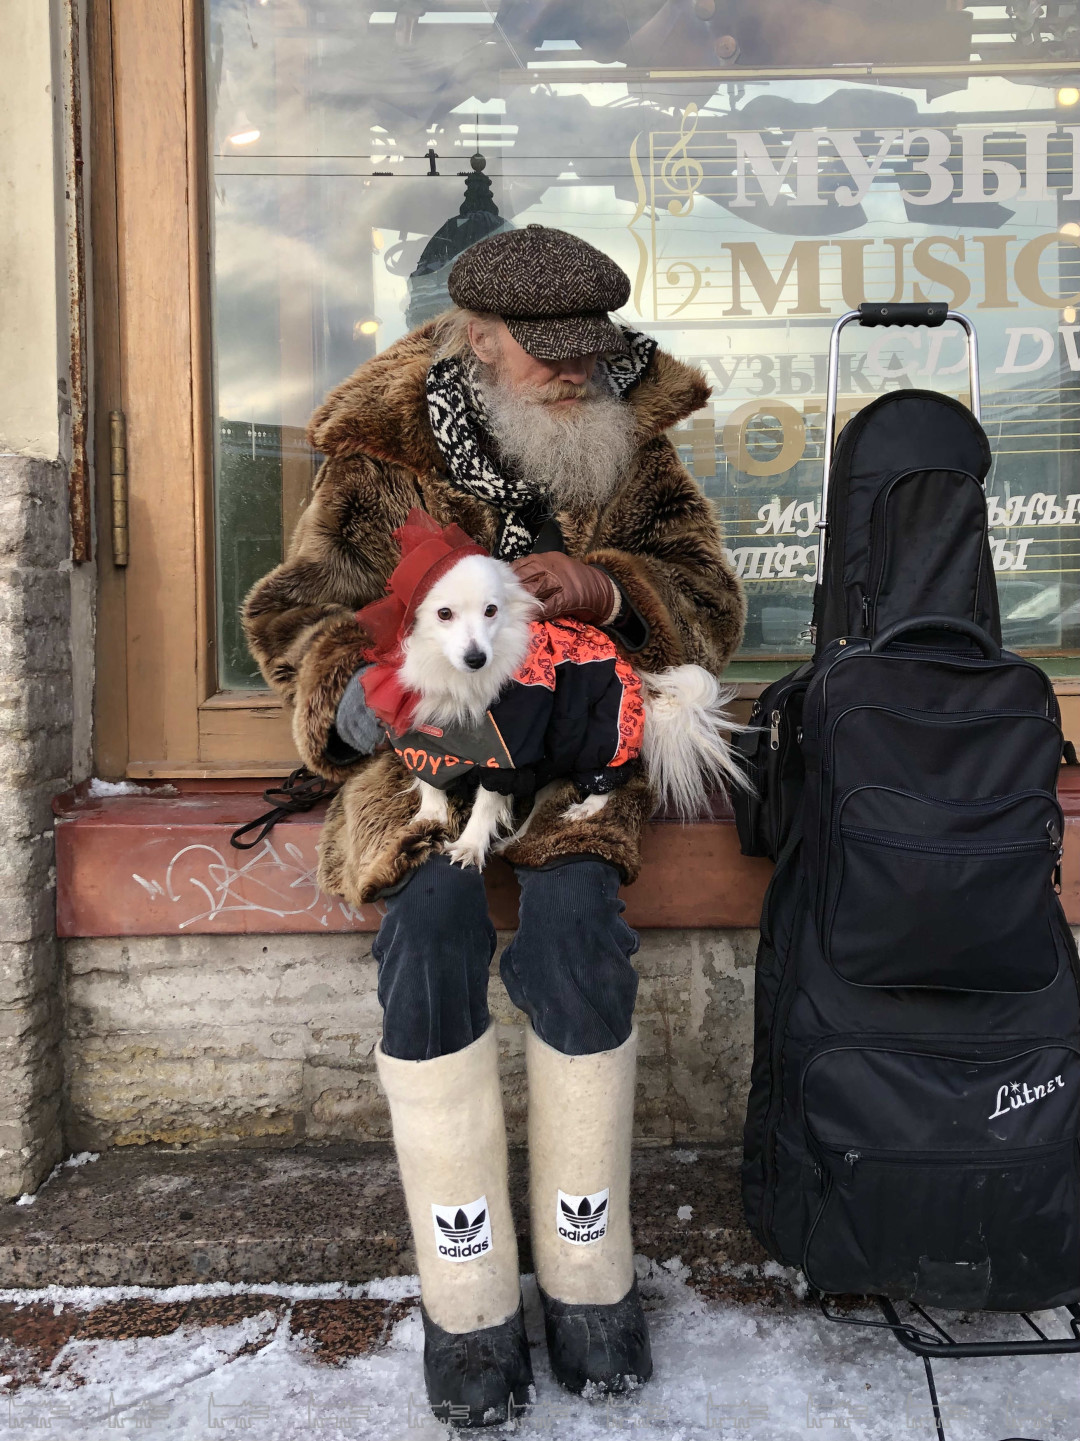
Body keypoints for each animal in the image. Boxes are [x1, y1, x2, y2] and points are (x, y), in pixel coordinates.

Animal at [400, 550, 744, 864]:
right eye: (444, 613)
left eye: (491, 611)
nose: (476, 658)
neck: (458, 680)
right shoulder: (422, 737)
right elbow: (429, 779)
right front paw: (429, 816)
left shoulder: (509, 752)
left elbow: (487, 803)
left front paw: (470, 845)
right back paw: (513, 840)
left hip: (604, 734)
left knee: (607, 780)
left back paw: (585, 807)